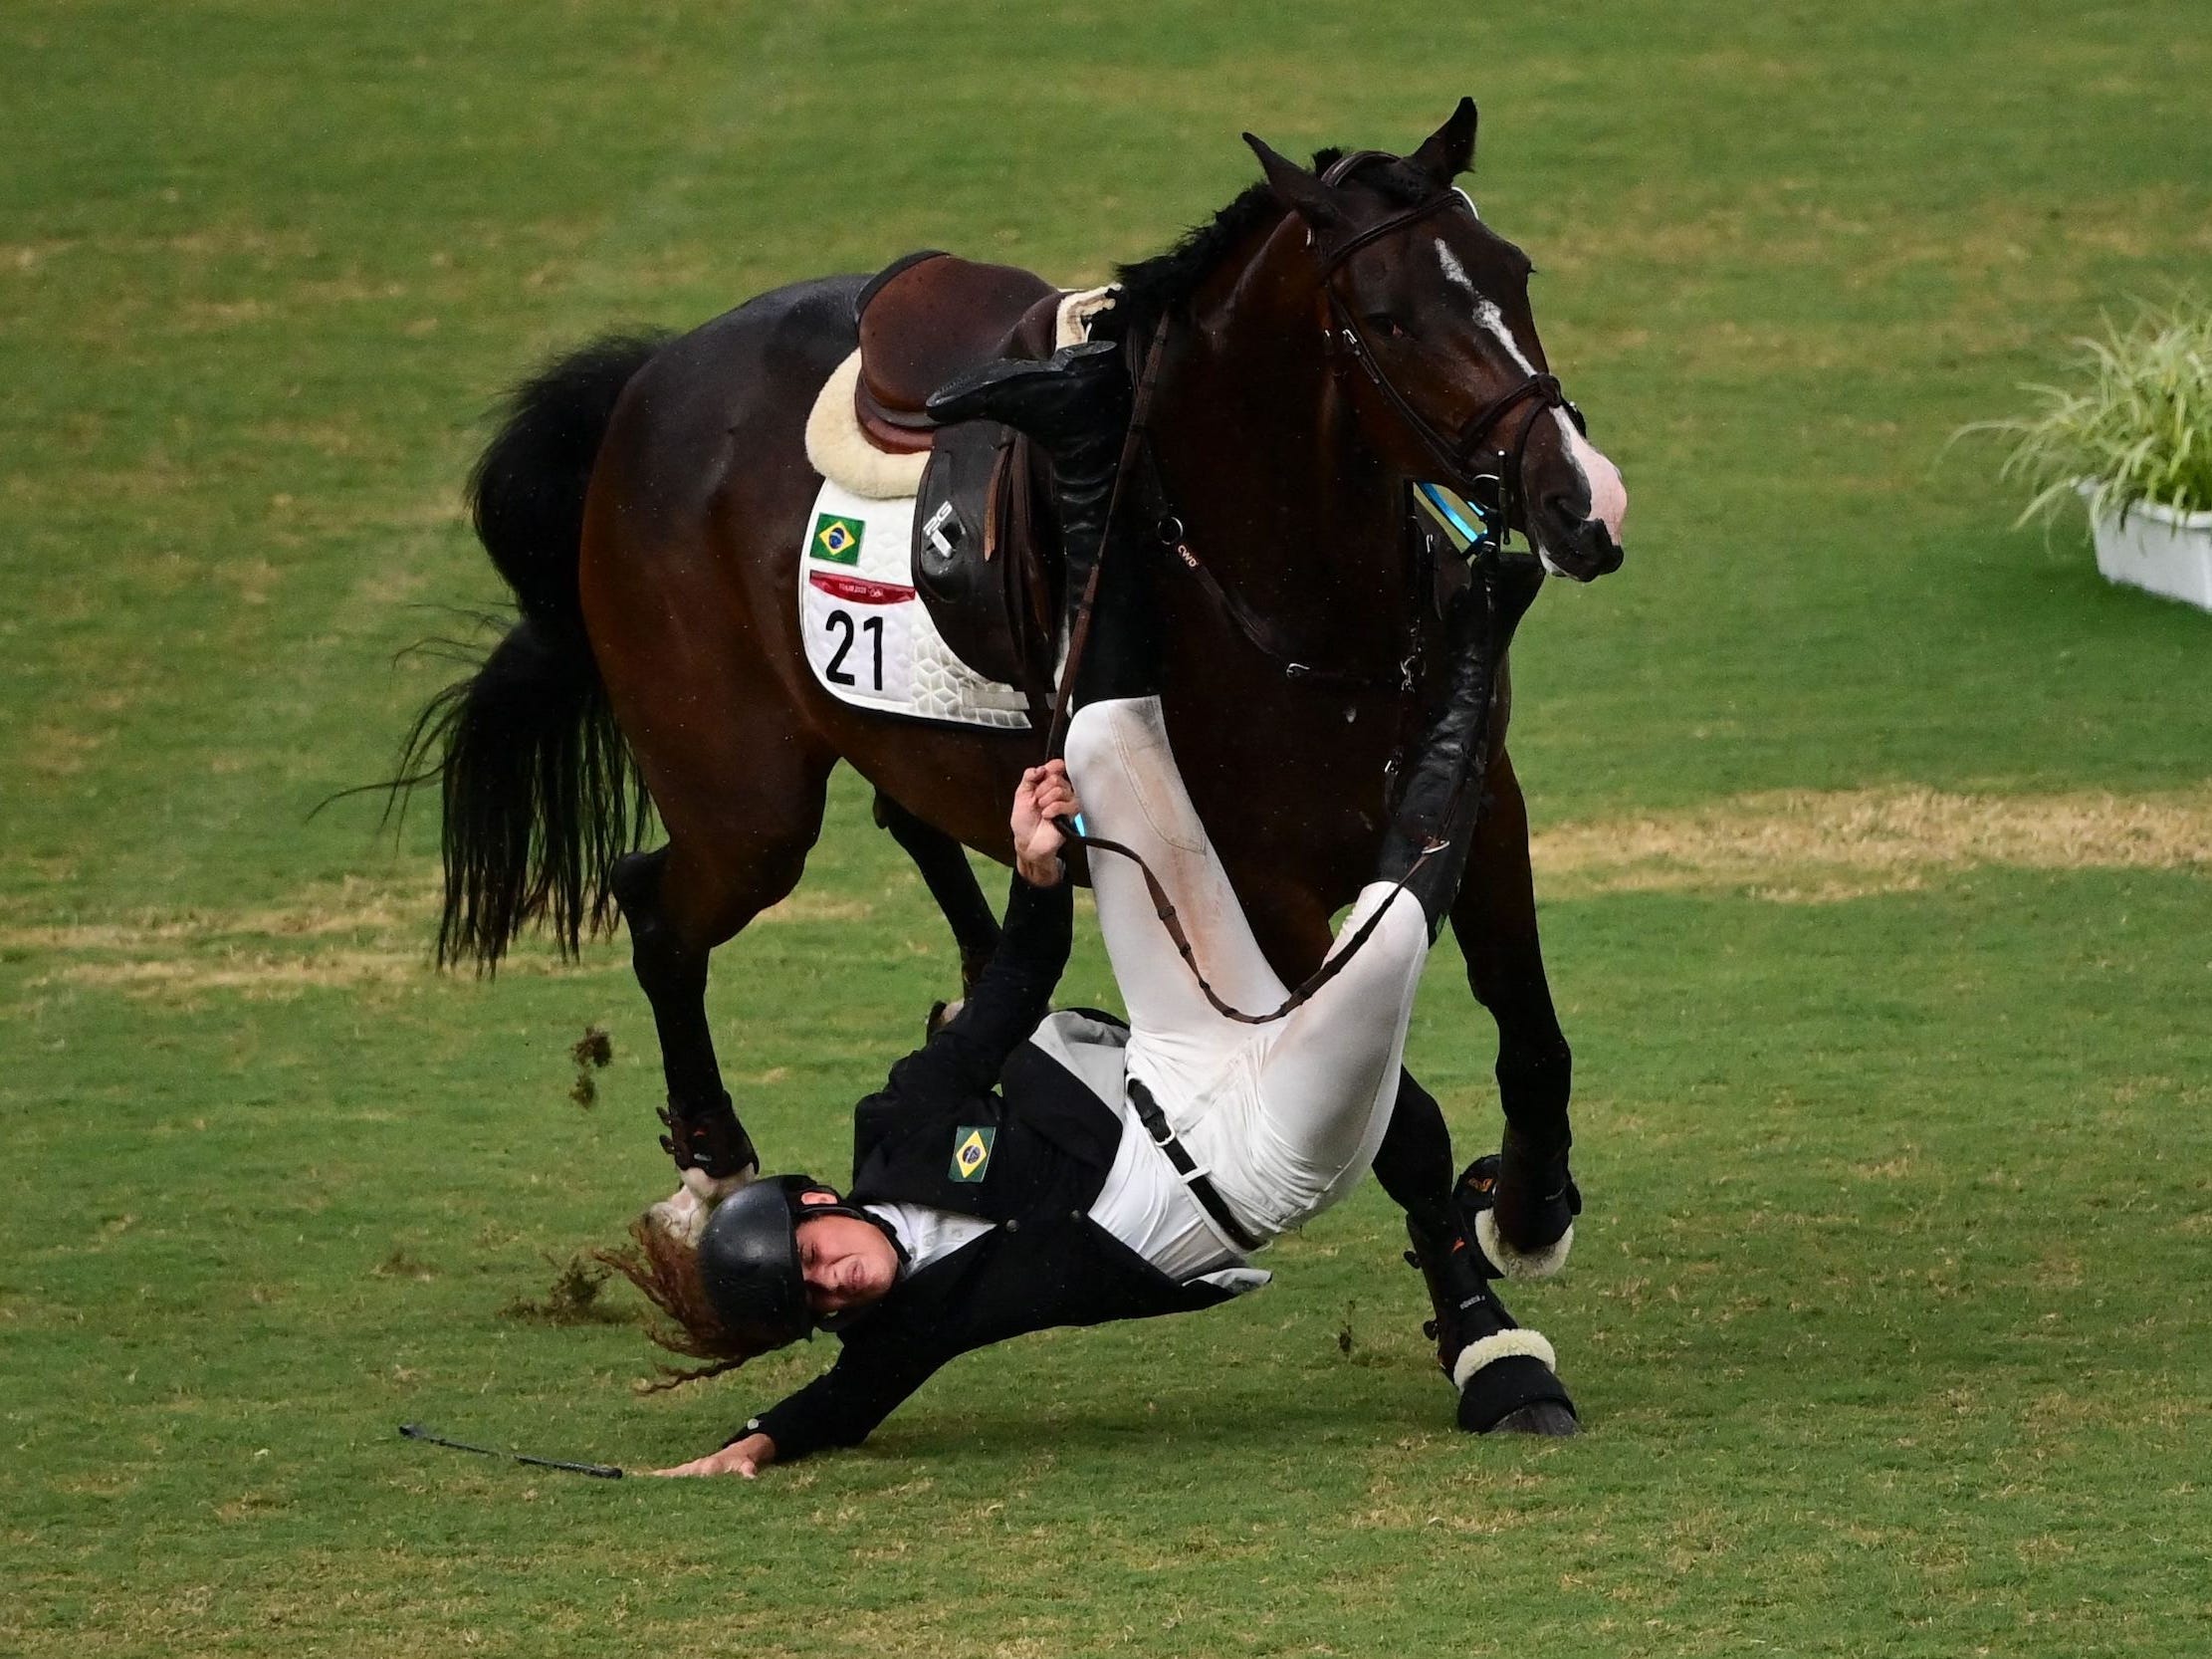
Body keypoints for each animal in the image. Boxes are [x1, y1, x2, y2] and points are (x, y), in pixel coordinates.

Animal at [406, 104, 1637, 1424]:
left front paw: (1528, 1209)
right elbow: (1399, 1118)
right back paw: (713, 1165)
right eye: (1391, 317)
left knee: (913, 839)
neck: (1292, 592)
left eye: (1514, 272)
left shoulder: (1481, 799)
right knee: (654, 905)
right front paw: (1488, 1345)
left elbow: (1531, 1032)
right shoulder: (1262, 880)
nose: (1581, 504)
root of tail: (649, 378)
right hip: (748, 814)